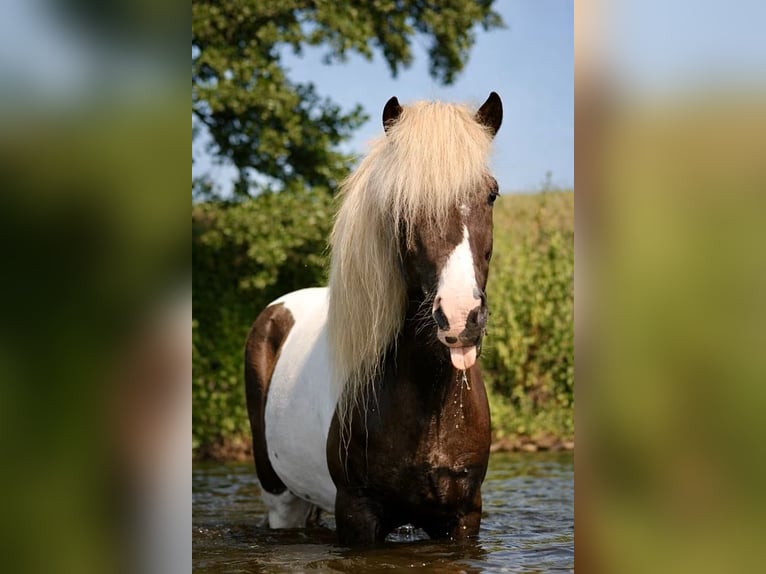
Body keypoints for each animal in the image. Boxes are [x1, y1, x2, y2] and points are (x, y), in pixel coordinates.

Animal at [244, 92, 503, 545]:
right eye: (404, 205)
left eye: (492, 194)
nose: (460, 317)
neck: (429, 396)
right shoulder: (357, 513)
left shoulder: (463, 516)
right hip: (281, 498)